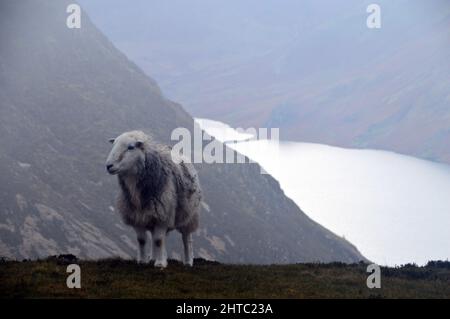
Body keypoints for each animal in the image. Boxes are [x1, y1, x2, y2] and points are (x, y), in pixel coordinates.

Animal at [105, 131, 200, 268]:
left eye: (130, 147)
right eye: (114, 145)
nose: (108, 166)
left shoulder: (163, 215)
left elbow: (159, 241)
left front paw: (160, 264)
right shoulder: (137, 216)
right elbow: (142, 240)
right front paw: (143, 261)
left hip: (189, 215)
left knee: (186, 238)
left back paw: (188, 262)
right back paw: (154, 257)